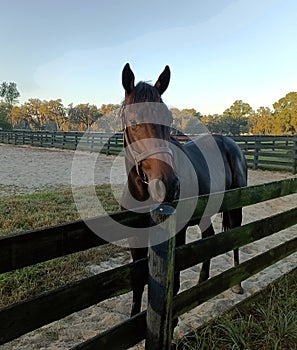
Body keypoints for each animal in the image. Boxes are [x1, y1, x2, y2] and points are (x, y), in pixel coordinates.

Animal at [119, 62, 246, 326]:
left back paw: (237, 283)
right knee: (209, 238)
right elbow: (137, 285)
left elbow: (174, 281)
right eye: (133, 119)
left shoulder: (176, 236)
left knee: (236, 238)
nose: (168, 184)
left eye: (168, 118)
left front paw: (173, 319)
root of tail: (231, 143)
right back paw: (201, 283)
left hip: (235, 206)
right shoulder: (135, 239)